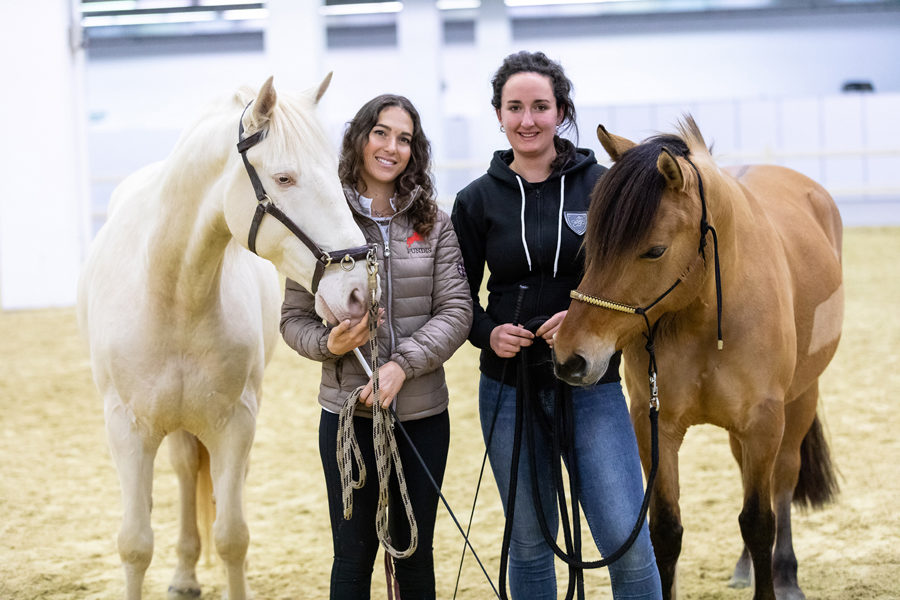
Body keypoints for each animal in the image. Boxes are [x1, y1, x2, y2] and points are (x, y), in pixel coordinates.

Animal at [552, 117, 840, 600]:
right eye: (593, 240)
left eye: (654, 250)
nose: (569, 357)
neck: (709, 317)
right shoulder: (655, 425)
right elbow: (667, 530)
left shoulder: (764, 421)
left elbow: (759, 522)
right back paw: (744, 569)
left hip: (800, 401)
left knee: (783, 480)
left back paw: (786, 573)